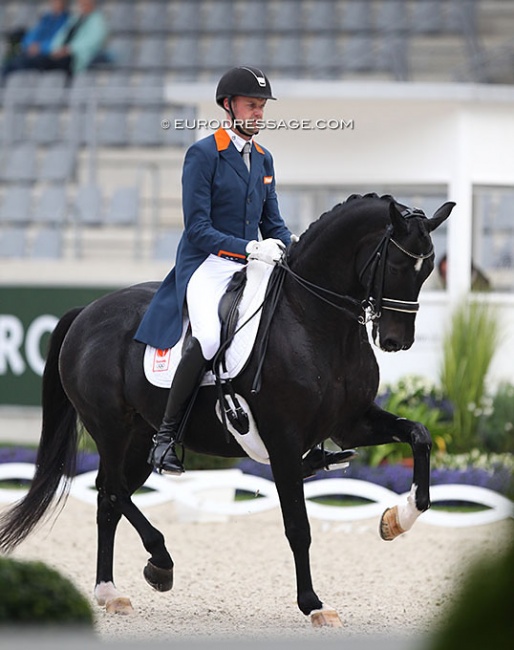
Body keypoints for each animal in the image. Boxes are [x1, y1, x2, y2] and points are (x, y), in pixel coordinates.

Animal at [0, 194, 450, 628]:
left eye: (427, 270)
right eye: (396, 264)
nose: (395, 341)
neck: (313, 319)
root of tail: (87, 313)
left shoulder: (351, 424)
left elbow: (419, 436)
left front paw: (396, 519)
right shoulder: (284, 443)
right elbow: (298, 527)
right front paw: (313, 604)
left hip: (140, 438)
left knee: (110, 498)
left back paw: (110, 593)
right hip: (110, 427)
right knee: (111, 490)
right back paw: (159, 564)